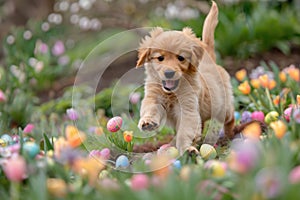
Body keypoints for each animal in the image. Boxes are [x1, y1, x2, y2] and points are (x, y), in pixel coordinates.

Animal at [136, 1, 234, 155]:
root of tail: (209, 59)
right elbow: (150, 109)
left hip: (221, 106)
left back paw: (230, 134)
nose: (169, 73)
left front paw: (187, 149)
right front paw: (147, 122)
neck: (171, 93)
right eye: (160, 58)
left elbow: (185, 131)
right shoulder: (154, 97)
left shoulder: (188, 109)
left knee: (230, 116)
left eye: (181, 58)